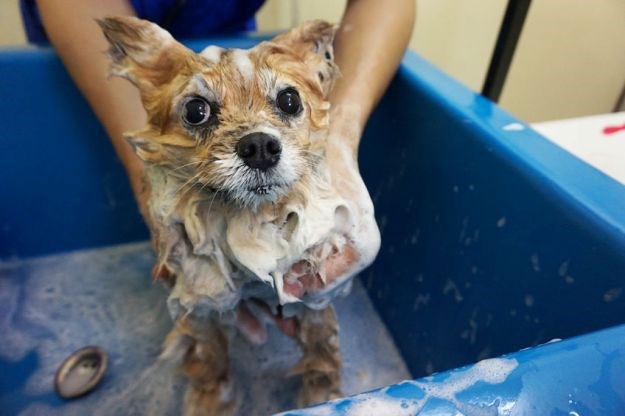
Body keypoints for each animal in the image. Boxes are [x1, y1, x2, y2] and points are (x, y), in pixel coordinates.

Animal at [98, 15, 380, 412]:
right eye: (196, 110)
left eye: (290, 100)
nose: (259, 146)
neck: (248, 224)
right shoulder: (201, 307)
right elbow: (210, 363)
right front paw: (211, 401)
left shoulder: (313, 298)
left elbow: (323, 352)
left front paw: (322, 395)